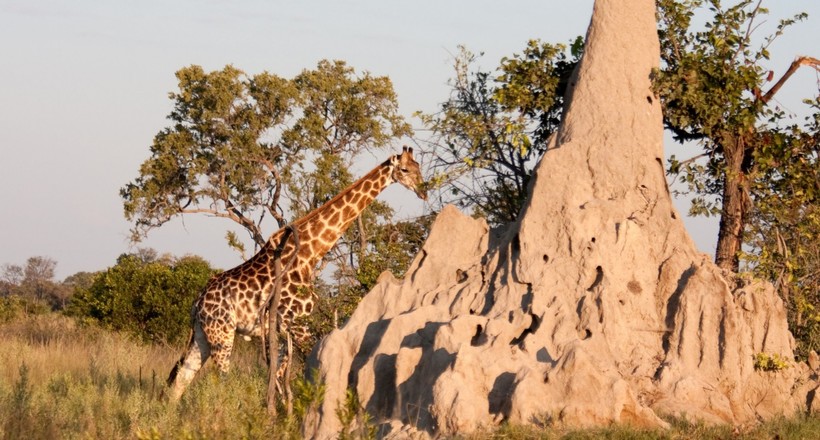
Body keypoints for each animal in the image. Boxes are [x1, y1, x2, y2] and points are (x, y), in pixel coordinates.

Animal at [165, 147, 422, 398]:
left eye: (418, 167)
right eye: (405, 169)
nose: (423, 190)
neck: (309, 255)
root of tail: (197, 303)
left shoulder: (283, 330)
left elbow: (277, 376)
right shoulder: (298, 325)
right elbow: (308, 367)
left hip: (203, 334)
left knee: (180, 381)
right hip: (222, 333)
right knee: (219, 380)